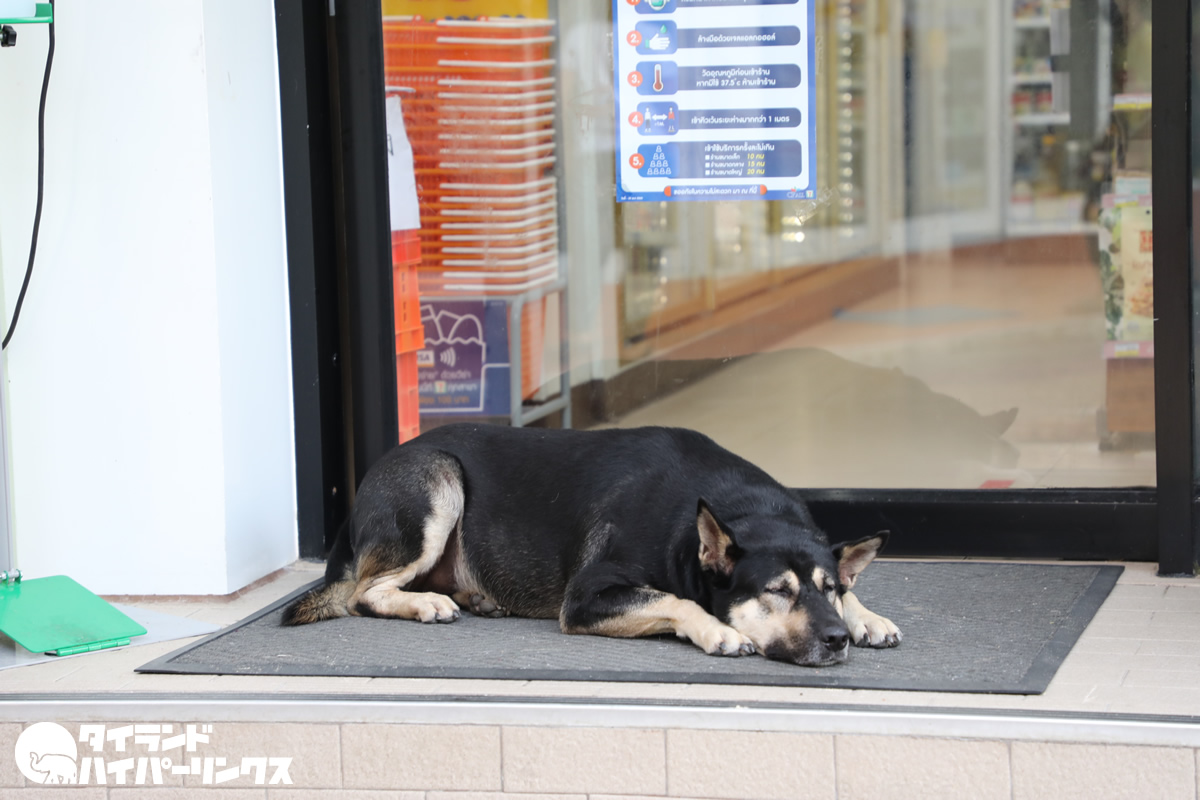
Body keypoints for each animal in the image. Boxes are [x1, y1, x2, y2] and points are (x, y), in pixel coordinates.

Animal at [280, 422, 902, 666]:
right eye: (777, 590)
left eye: (828, 588)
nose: (836, 639)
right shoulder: (586, 595)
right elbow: (675, 599)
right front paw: (718, 630)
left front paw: (867, 615)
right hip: (436, 480)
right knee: (364, 592)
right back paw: (427, 602)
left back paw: (474, 597)